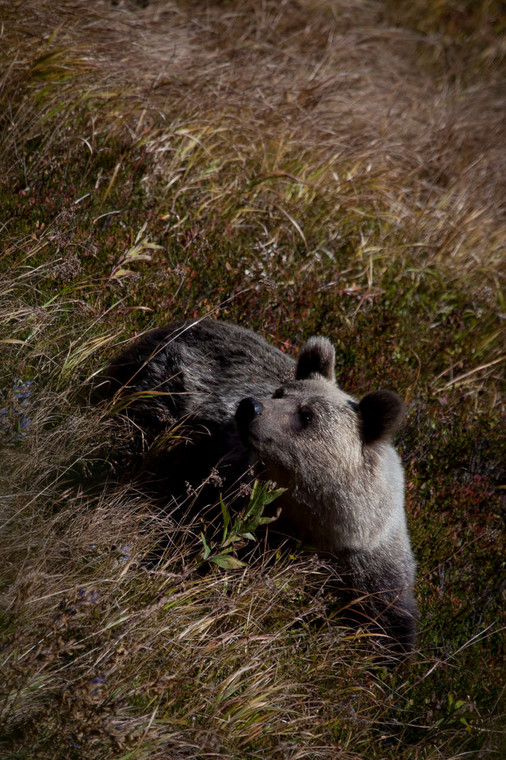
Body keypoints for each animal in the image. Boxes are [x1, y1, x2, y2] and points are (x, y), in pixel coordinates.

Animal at [100, 320, 420, 652]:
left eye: (307, 415)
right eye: (281, 392)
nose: (249, 406)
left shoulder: (369, 563)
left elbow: (385, 622)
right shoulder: (231, 493)